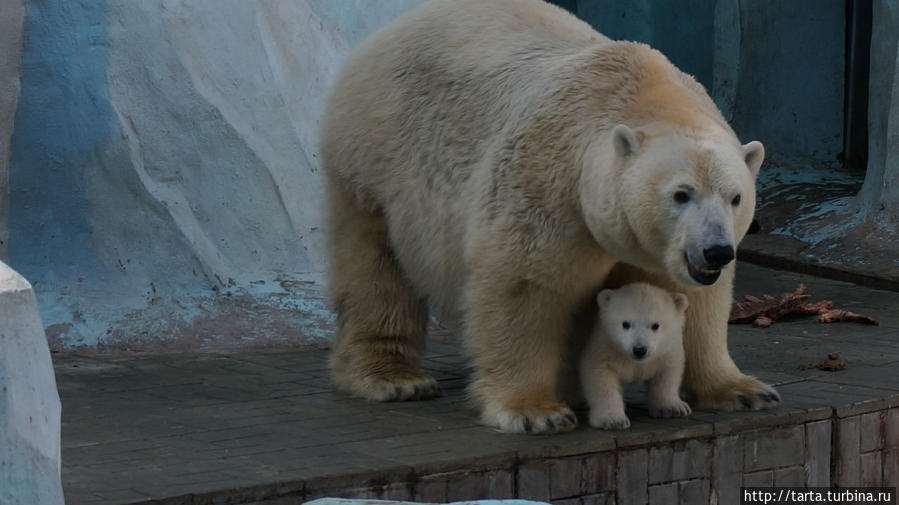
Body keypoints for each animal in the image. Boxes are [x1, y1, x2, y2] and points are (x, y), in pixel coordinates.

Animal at [322, 0, 780, 434]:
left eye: (735, 197)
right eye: (681, 194)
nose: (717, 251)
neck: (641, 93)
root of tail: (387, 32)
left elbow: (696, 305)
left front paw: (744, 390)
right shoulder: (551, 188)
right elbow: (526, 287)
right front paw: (536, 412)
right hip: (378, 158)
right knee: (375, 267)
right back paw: (394, 378)